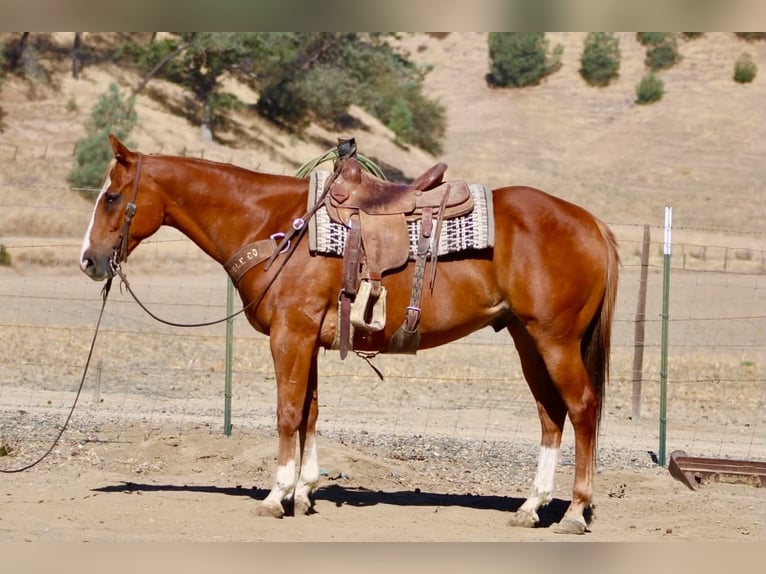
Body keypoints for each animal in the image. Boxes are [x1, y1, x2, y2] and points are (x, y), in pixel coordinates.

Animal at [80, 135, 619, 535]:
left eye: (112, 197)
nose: (89, 261)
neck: (275, 225)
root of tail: (592, 222)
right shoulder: (307, 340)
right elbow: (310, 414)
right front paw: (304, 492)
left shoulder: (289, 337)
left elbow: (287, 414)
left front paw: (276, 495)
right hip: (527, 339)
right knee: (550, 415)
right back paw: (531, 507)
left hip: (554, 340)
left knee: (581, 407)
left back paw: (575, 512)